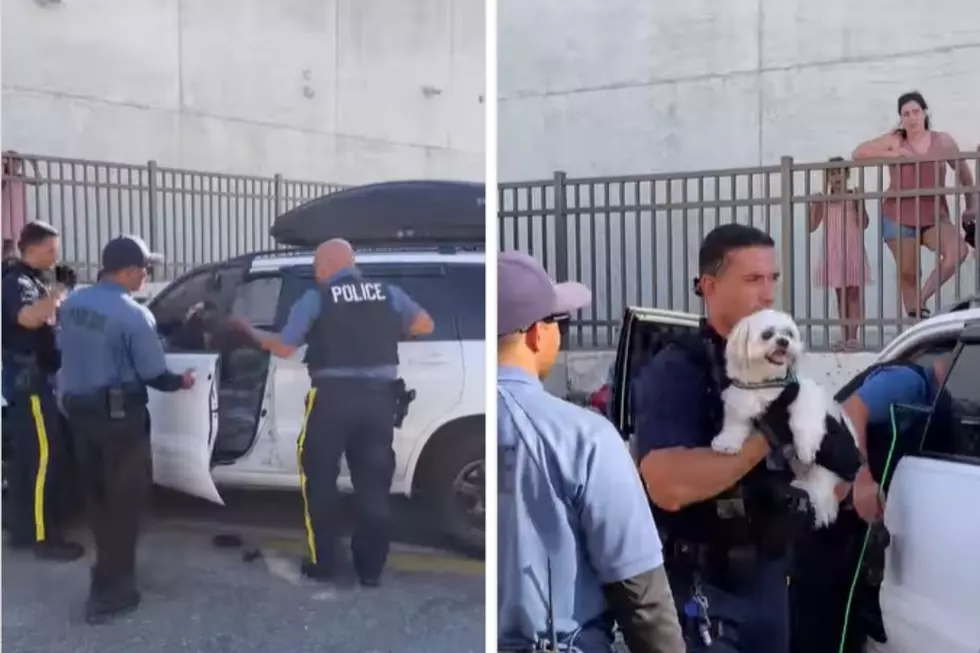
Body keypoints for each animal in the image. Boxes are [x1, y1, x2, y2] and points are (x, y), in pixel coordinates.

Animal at [234, 239, 432, 584]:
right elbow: (423, 319)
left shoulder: (307, 305)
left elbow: (285, 342)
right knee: (374, 486)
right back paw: (369, 568)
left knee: (319, 487)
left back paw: (321, 565)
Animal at [708, 308, 852, 528]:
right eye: (767, 334)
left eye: (789, 334)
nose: (784, 342)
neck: (767, 383)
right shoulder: (741, 400)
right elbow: (735, 425)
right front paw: (726, 442)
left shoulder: (802, 393)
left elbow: (804, 420)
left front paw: (805, 448)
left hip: (825, 468)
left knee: (820, 482)